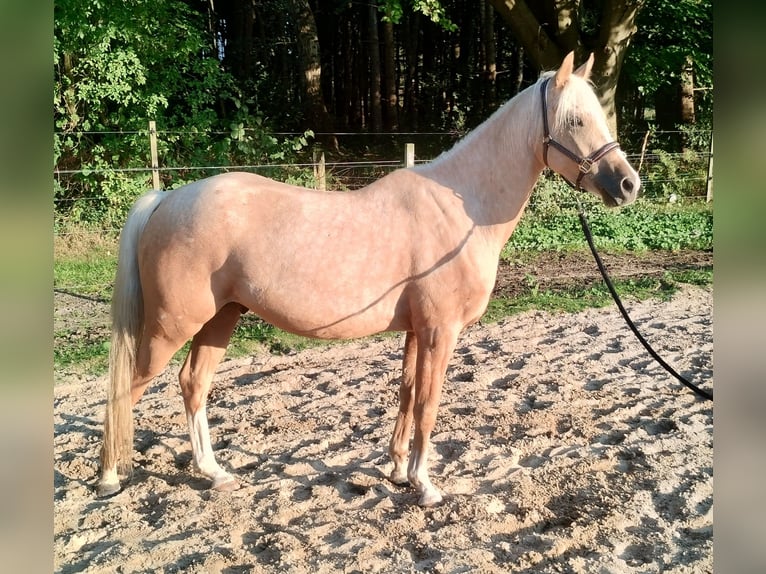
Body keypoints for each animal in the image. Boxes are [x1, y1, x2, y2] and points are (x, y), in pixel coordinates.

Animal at [97, 51, 640, 506]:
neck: (460, 207)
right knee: (126, 390)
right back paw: (108, 477)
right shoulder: (441, 331)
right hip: (171, 327)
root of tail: (168, 198)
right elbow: (428, 404)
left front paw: (399, 470)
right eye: (575, 120)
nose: (628, 184)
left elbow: (407, 394)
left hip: (220, 319)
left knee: (193, 384)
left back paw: (214, 473)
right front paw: (425, 486)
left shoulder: (418, 332)